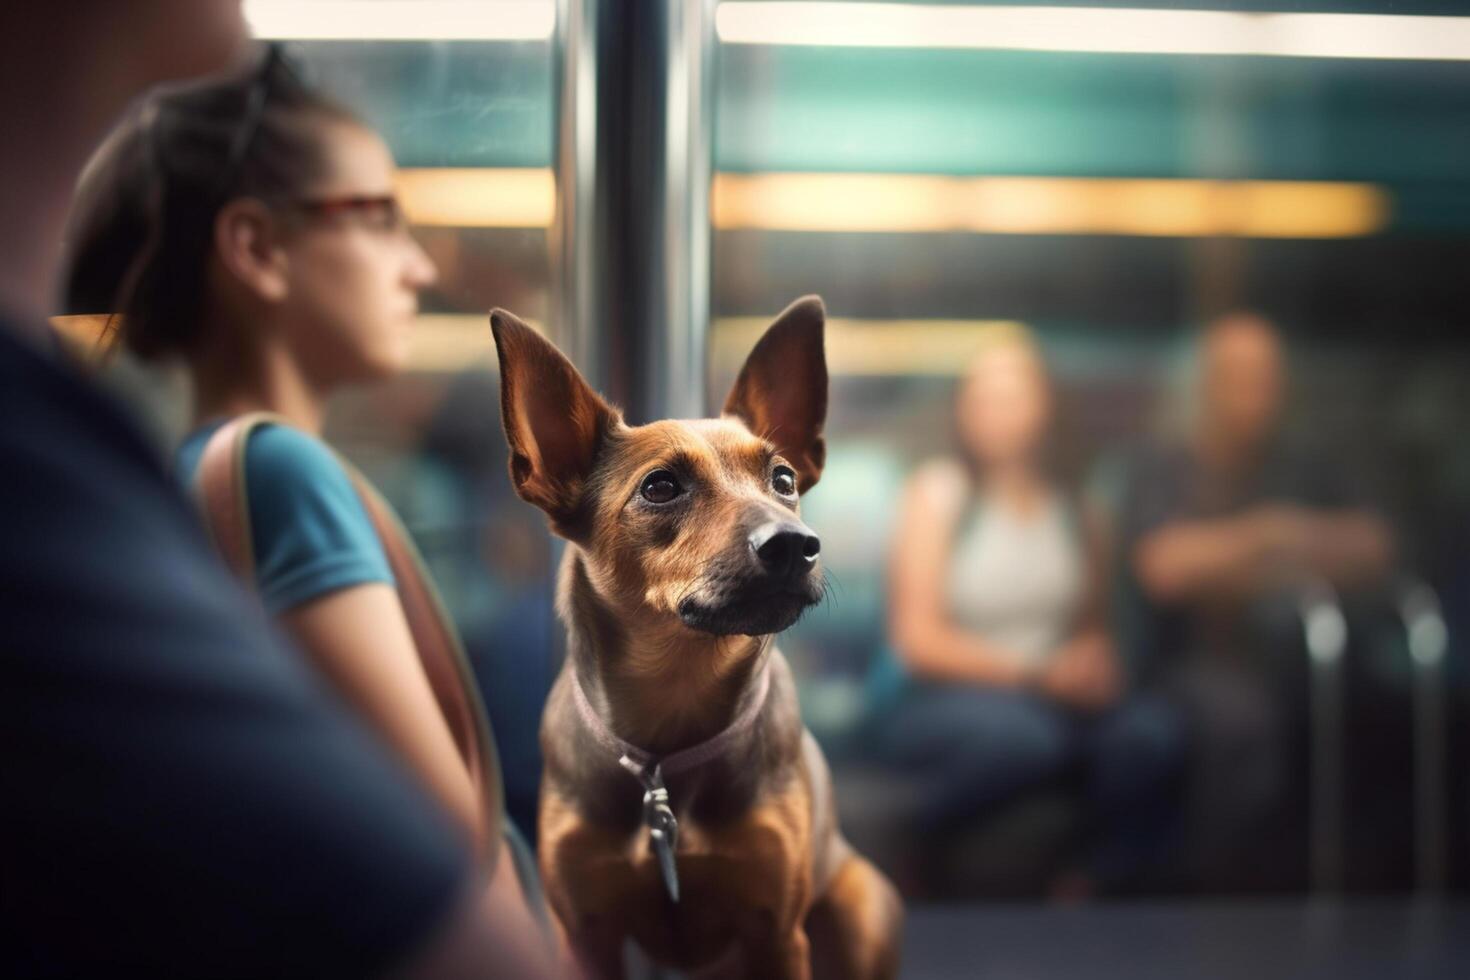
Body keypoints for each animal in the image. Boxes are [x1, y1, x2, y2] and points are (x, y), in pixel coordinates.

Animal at [490, 299, 893, 980]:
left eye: (784, 479)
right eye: (660, 487)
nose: (796, 545)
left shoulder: (778, 935)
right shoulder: (586, 937)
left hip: (861, 907)